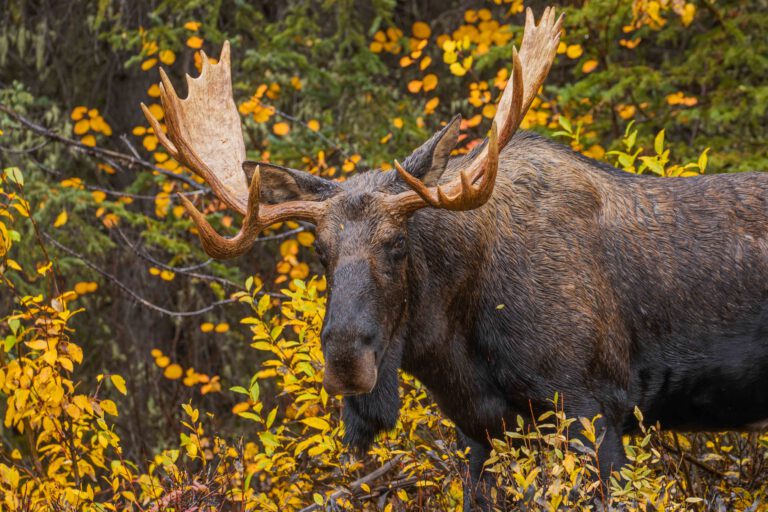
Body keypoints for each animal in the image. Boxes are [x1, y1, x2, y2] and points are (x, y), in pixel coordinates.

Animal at [142, 7, 768, 508]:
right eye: (320, 253)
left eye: (397, 244)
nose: (345, 357)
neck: (457, 341)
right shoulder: (479, 432)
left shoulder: (594, 405)